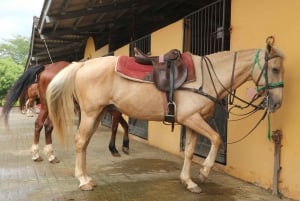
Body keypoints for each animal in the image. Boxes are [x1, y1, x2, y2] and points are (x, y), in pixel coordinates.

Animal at [46, 37, 284, 192]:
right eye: (274, 69)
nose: (277, 102)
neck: (207, 76)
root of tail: (82, 65)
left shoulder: (191, 122)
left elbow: (189, 152)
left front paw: (188, 181)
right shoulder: (192, 119)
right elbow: (217, 139)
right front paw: (204, 172)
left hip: (96, 115)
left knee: (84, 143)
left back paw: (86, 177)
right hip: (90, 114)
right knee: (80, 142)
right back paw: (83, 181)